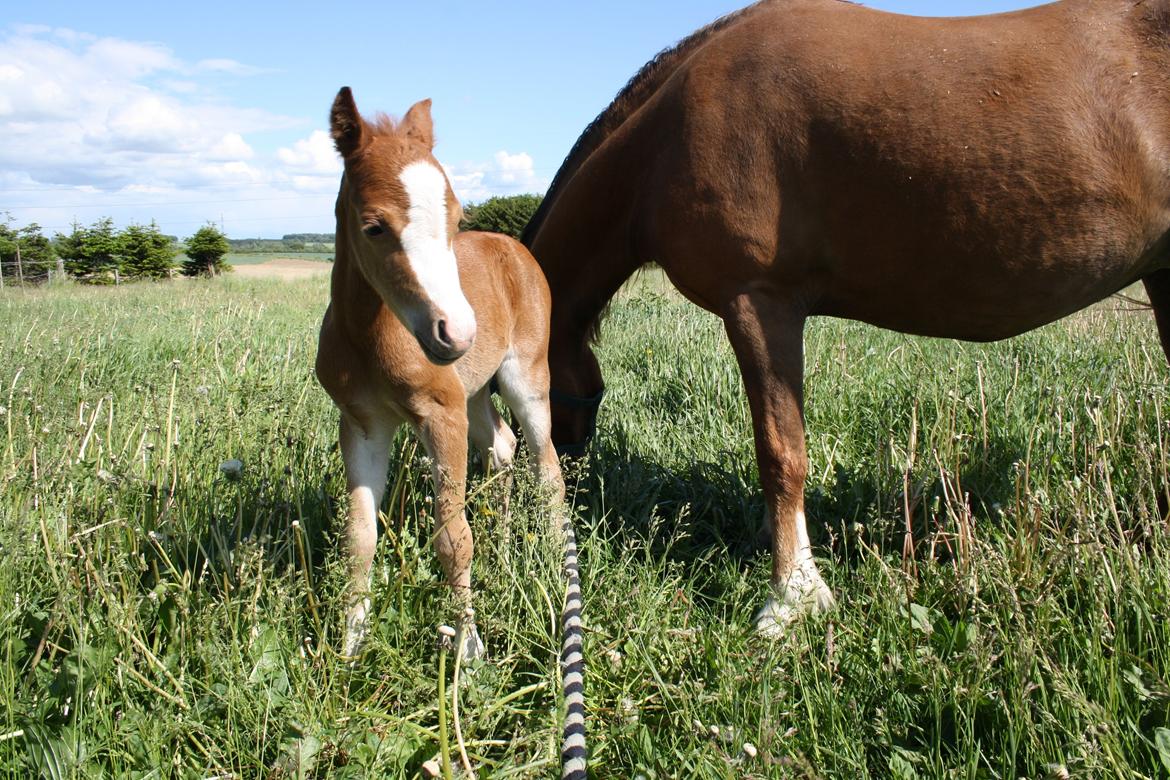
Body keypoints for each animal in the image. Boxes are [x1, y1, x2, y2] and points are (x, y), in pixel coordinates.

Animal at [315, 88, 561, 654]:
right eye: (374, 226)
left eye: (456, 218)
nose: (458, 333)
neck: (369, 335)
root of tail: (514, 246)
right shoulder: (362, 424)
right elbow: (359, 537)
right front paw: (350, 642)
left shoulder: (440, 416)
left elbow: (453, 538)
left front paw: (468, 646)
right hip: (473, 392)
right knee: (502, 447)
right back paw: (506, 550)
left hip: (525, 379)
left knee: (548, 467)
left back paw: (559, 564)